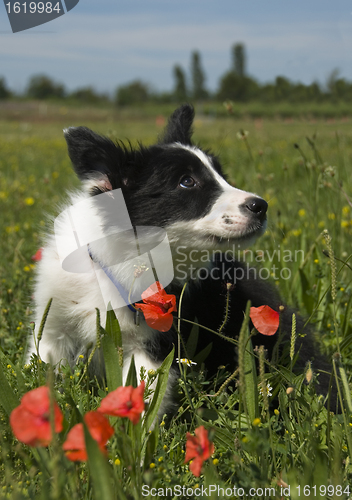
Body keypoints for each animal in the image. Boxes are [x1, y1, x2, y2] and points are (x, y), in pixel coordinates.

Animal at [28, 103, 332, 412]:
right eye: (187, 182)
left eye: (221, 174)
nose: (261, 206)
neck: (118, 261)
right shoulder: (52, 328)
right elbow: (42, 372)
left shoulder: (154, 347)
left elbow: (143, 399)